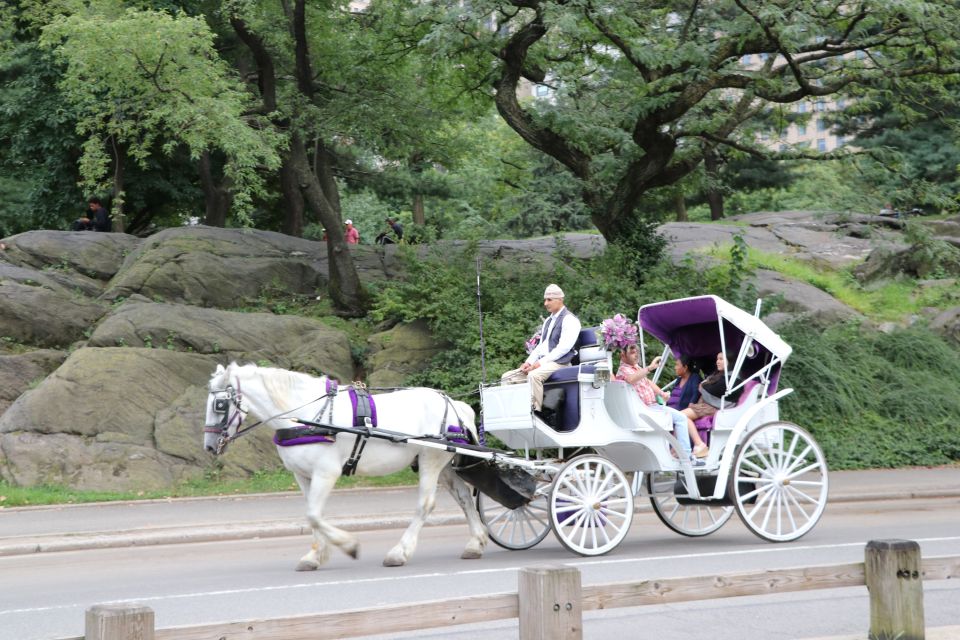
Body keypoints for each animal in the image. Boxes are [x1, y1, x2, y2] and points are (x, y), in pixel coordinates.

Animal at [203, 362, 488, 570]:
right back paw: (476, 542)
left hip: (431, 459)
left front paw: (349, 545)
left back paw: (399, 552)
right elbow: (313, 514)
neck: (307, 415)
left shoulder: (326, 472)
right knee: (464, 497)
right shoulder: (303, 476)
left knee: (425, 504)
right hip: (445, 465)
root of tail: (454, 404)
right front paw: (314, 557)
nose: (209, 446)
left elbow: (313, 515)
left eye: (219, 404)